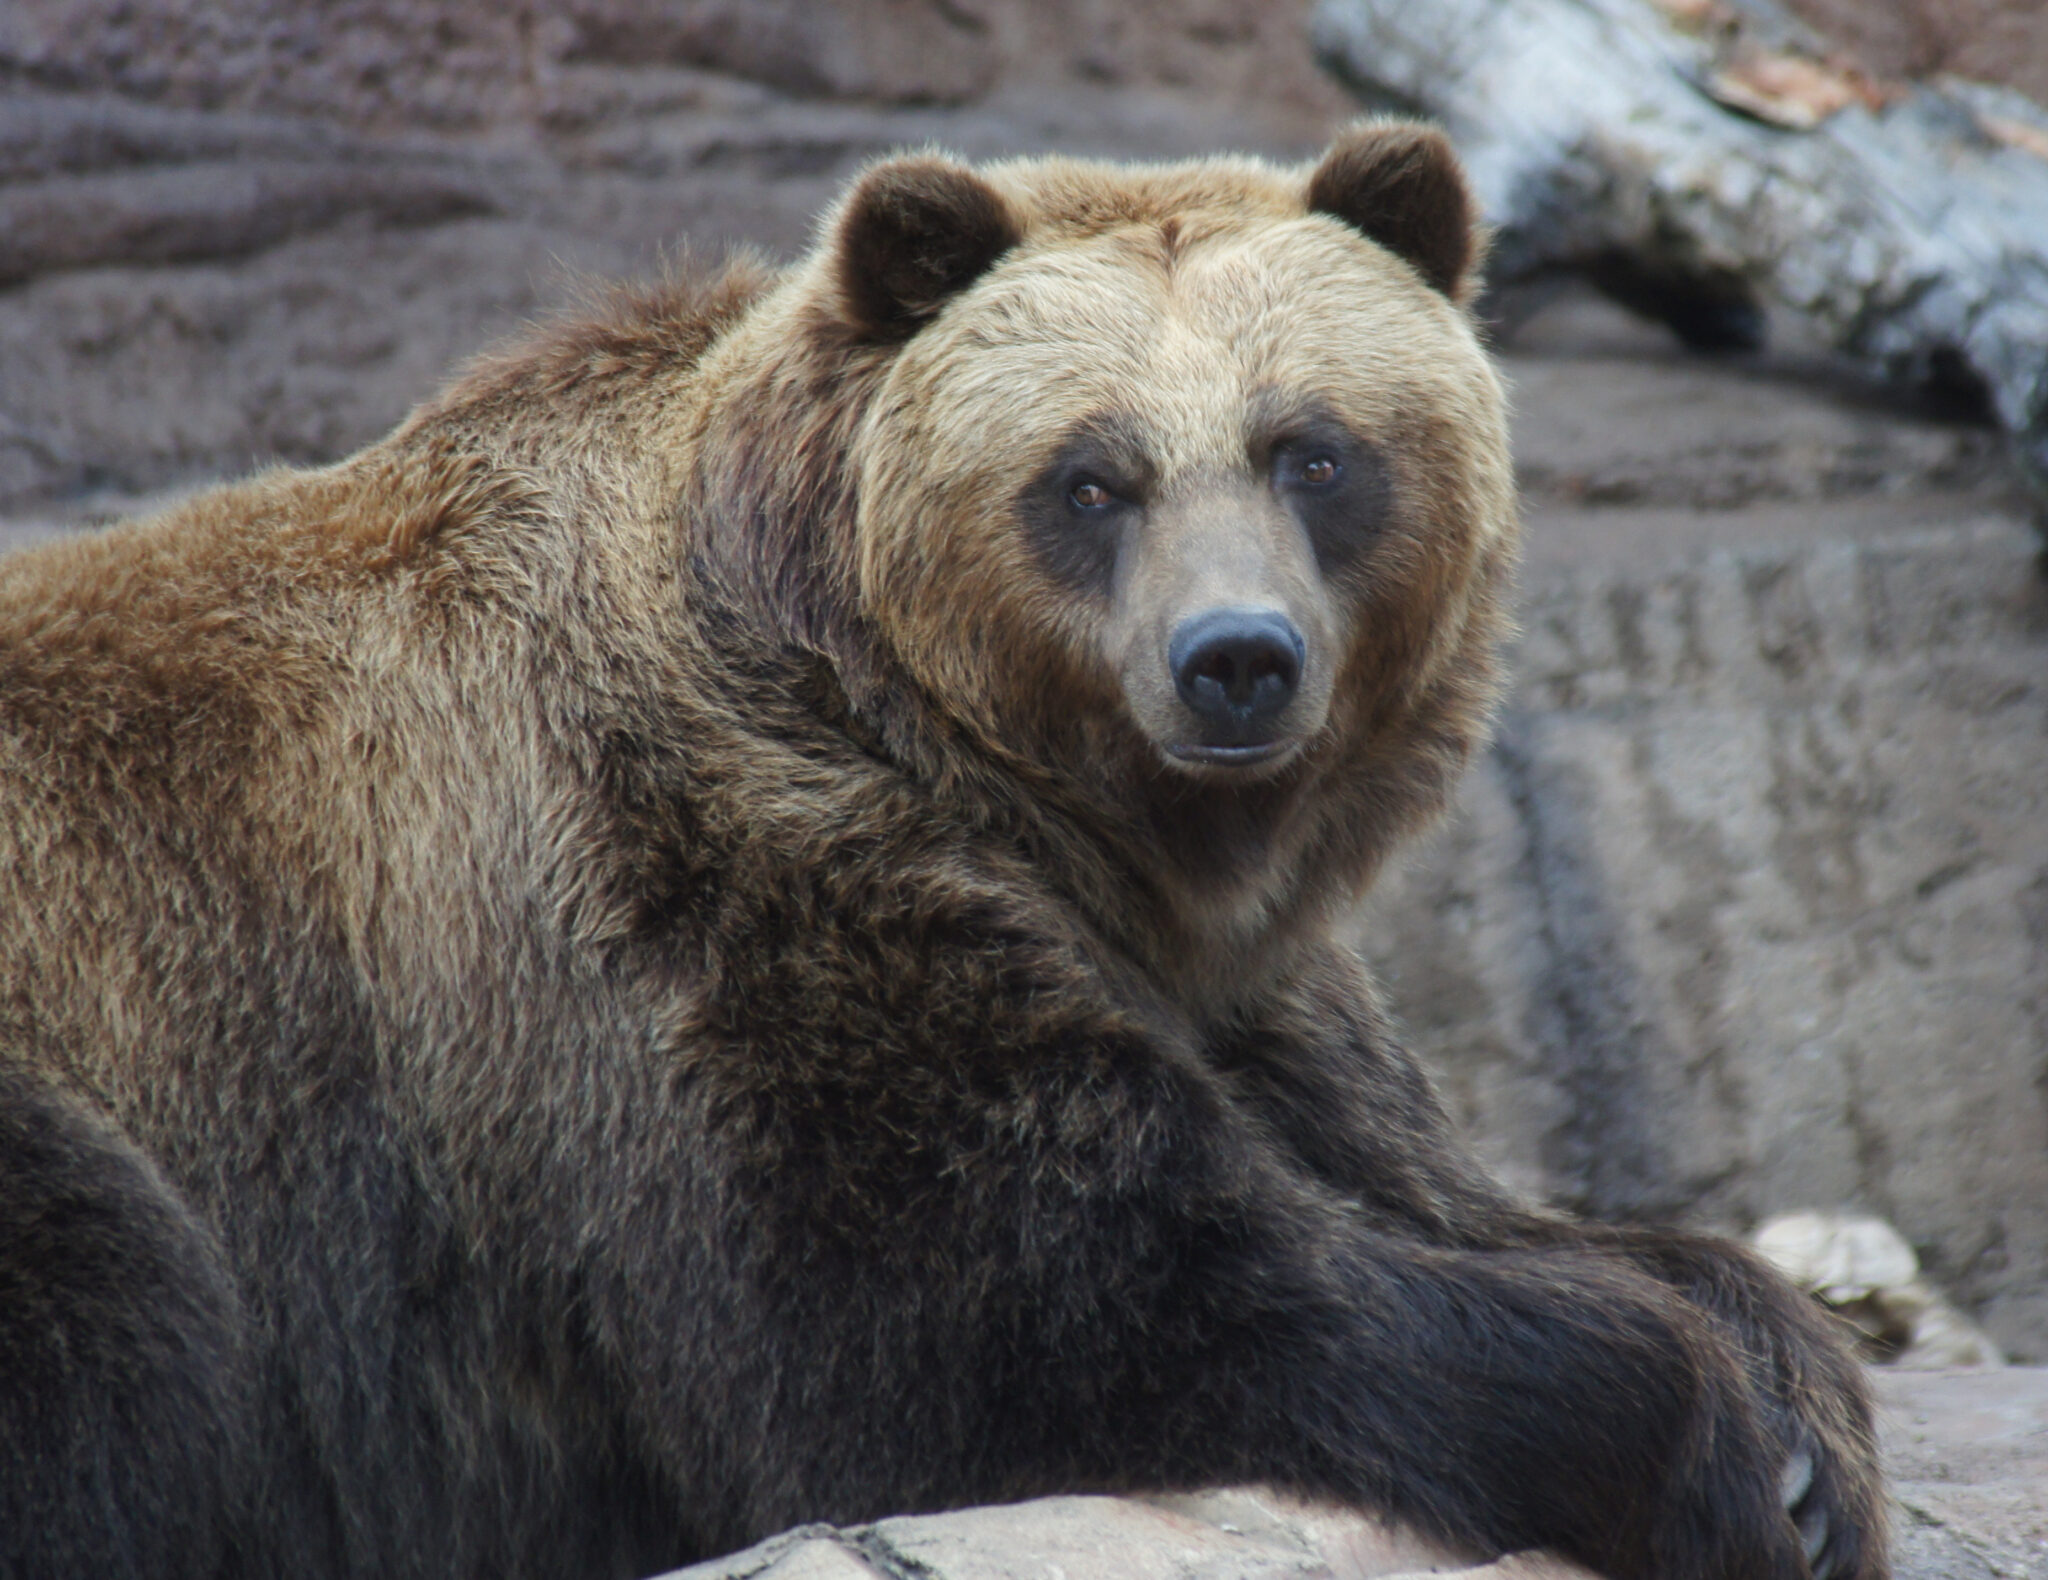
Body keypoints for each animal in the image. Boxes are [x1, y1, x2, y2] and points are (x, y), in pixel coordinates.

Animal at [0, 126, 1884, 1580]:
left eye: (1312, 449)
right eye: (1091, 478)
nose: (1236, 660)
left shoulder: (1225, 980)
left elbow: (1432, 1182)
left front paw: (1791, 1385)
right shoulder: (697, 895)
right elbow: (1019, 1309)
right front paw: (1718, 1448)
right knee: (121, 1324)